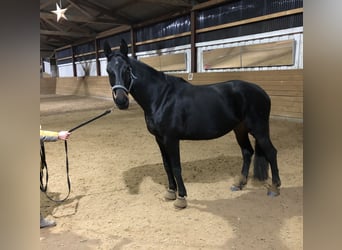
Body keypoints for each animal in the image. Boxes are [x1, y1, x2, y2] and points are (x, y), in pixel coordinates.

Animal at [104, 38, 280, 207]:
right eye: (108, 71)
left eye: (127, 69)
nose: (121, 101)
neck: (160, 97)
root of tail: (262, 92)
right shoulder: (159, 139)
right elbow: (166, 165)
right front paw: (170, 192)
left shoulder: (171, 138)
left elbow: (176, 166)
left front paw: (181, 197)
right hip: (240, 129)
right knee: (247, 152)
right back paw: (239, 184)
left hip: (259, 129)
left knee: (271, 152)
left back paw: (275, 188)